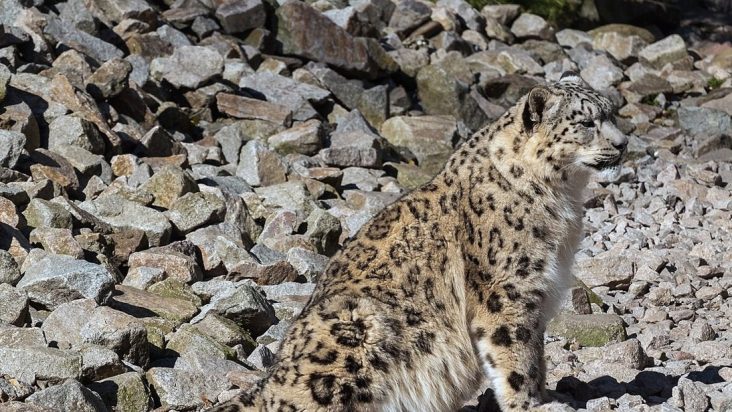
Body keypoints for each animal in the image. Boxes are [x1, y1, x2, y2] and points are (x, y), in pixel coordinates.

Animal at [207, 72, 628, 412]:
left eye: (610, 113)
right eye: (587, 122)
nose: (624, 143)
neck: (563, 202)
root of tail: (270, 383)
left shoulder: (539, 297)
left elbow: (536, 355)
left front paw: (546, 394)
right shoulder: (508, 292)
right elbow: (515, 355)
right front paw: (531, 403)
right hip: (355, 328)